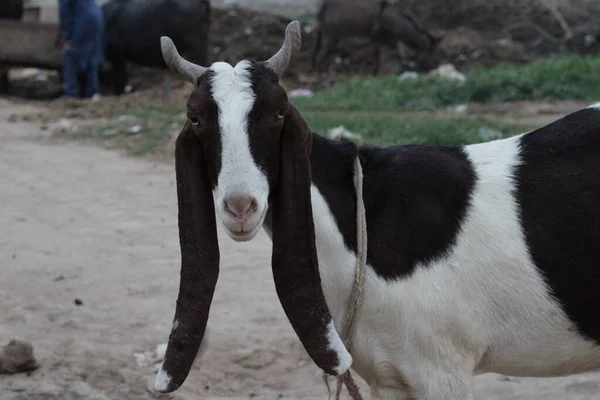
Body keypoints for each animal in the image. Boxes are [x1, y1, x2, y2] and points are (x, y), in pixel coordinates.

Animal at [151, 21, 600, 400]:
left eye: (278, 113)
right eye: (195, 118)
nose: (240, 205)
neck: (364, 214)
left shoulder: (441, 370)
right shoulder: (390, 376)